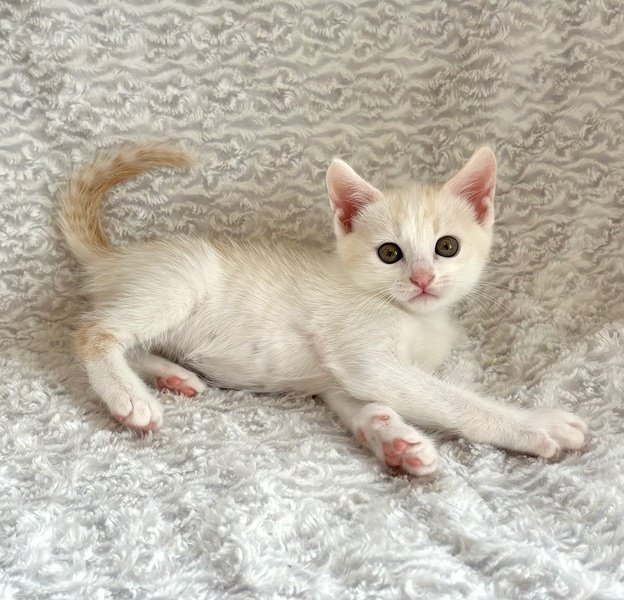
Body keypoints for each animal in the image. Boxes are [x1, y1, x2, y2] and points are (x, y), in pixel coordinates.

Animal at [59, 143, 588, 476]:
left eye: (447, 247)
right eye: (390, 253)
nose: (422, 279)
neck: (412, 317)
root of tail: (116, 258)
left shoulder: (343, 376)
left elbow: (363, 403)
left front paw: (394, 440)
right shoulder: (367, 357)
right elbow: (455, 401)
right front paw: (536, 425)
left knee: (126, 337)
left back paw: (172, 376)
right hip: (184, 276)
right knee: (93, 331)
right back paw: (131, 399)